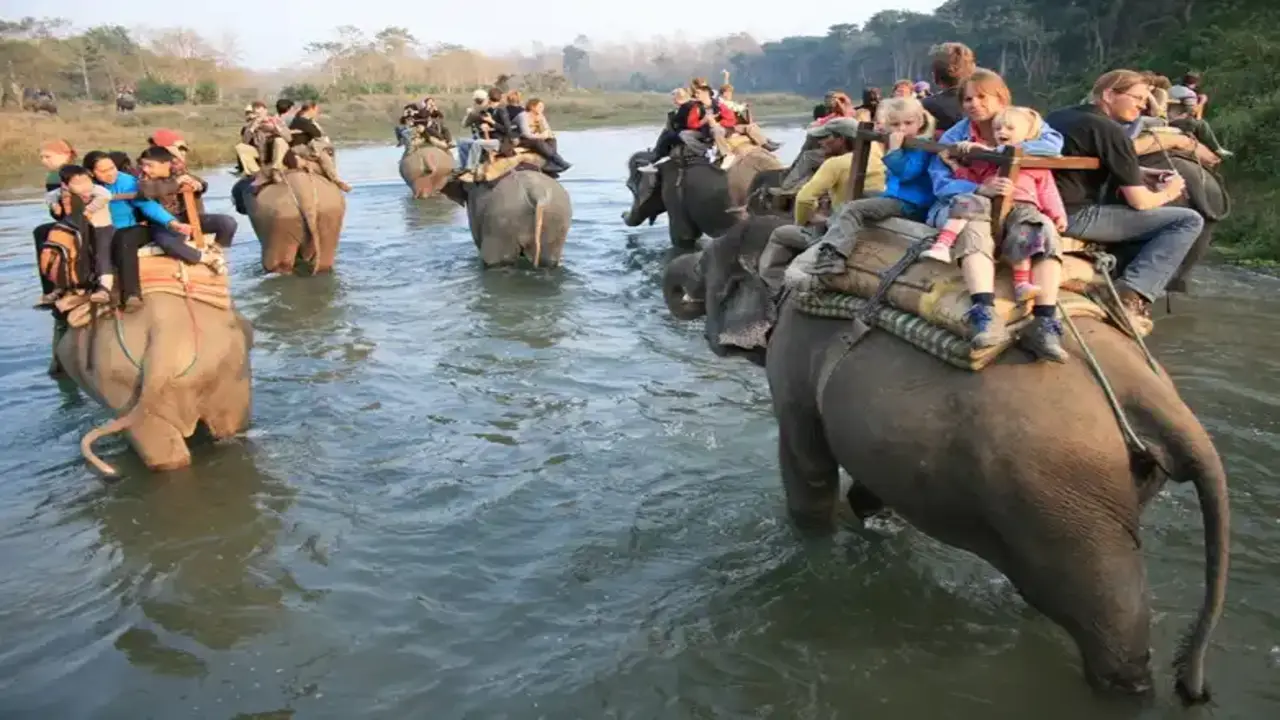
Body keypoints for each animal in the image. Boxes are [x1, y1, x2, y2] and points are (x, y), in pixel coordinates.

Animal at [660, 217, 1228, 702]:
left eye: (707, 267)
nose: (682, 274)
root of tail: (1155, 397)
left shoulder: (794, 363)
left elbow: (807, 470)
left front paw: (815, 545)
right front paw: (874, 520)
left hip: (1064, 494)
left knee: (1114, 633)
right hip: (1116, 488)